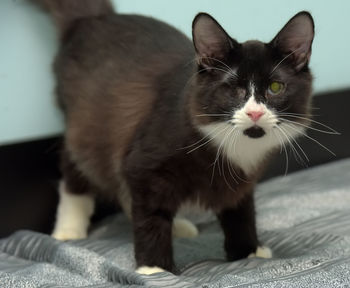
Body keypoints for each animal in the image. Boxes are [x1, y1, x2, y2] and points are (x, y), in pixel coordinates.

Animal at [32, 0, 314, 274]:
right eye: (233, 89)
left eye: (275, 87)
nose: (255, 112)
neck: (236, 148)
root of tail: (92, 19)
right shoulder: (144, 164)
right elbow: (151, 216)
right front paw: (154, 268)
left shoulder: (240, 180)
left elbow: (241, 212)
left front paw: (248, 251)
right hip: (85, 130)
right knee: (76, 173)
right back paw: (68, 230)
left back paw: (177, 226)